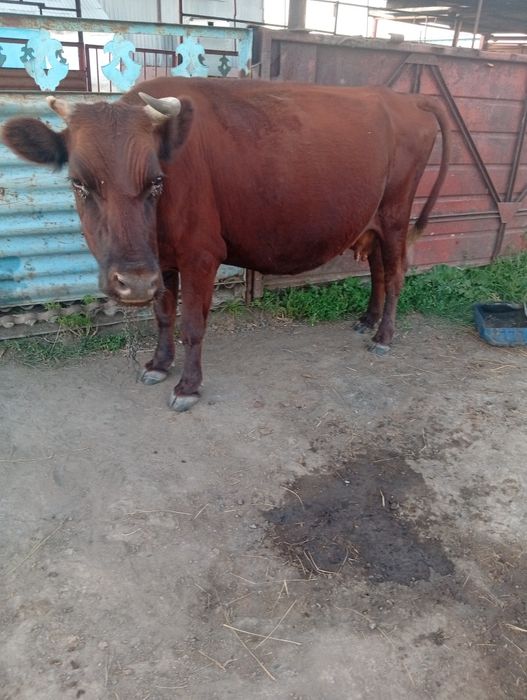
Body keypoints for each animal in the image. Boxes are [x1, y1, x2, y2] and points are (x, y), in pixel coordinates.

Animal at [2, 77, 449, 411]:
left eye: (156, 181)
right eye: (79, 183)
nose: (133, 282)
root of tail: (405, 98)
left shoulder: (201, 255)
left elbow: (193, 324)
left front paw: (187, 386)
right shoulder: (162, 261)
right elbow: (163, 316)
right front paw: (159, 365)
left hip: (396, 214)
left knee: (395, 274)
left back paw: (383, 337)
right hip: (372, 221)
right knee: (377, 270)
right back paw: (367, 320)